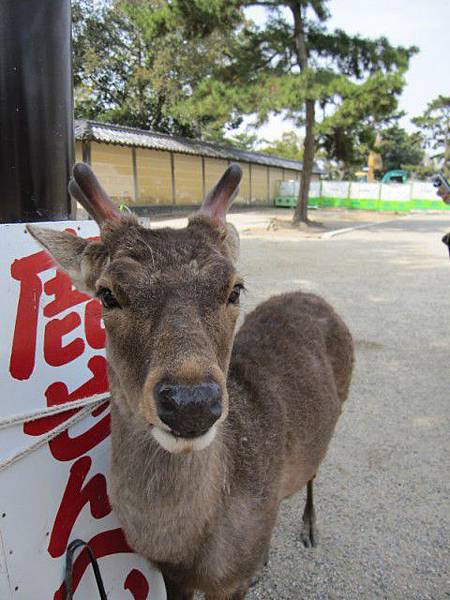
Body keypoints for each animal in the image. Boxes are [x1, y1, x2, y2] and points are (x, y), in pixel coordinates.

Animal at [28, 163, 354, 600]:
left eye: (235, 288)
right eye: (108, 294)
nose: (190, 403)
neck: (187, 548)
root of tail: (312, 296)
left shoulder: (231, 584)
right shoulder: (169, 574)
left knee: (314, 470)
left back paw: (307, 530)